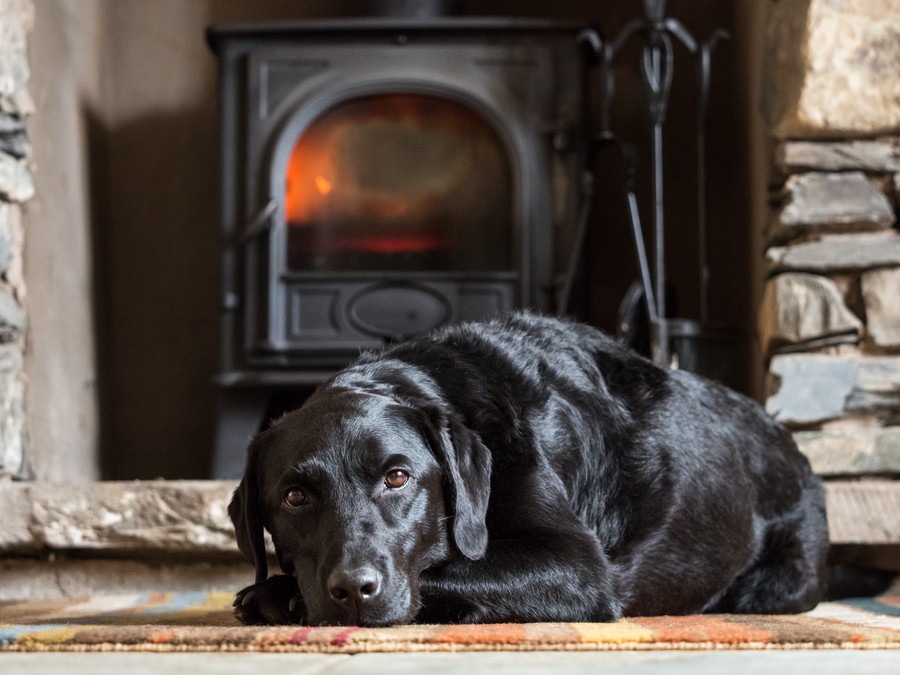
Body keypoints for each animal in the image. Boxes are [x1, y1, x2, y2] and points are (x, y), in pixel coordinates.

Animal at [229, 314, 828, 624]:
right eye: (295, 497)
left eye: (397, 477)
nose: (355, 589)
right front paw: (275, 590)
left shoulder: (576, 566)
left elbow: (449, 569)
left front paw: (279, 595)